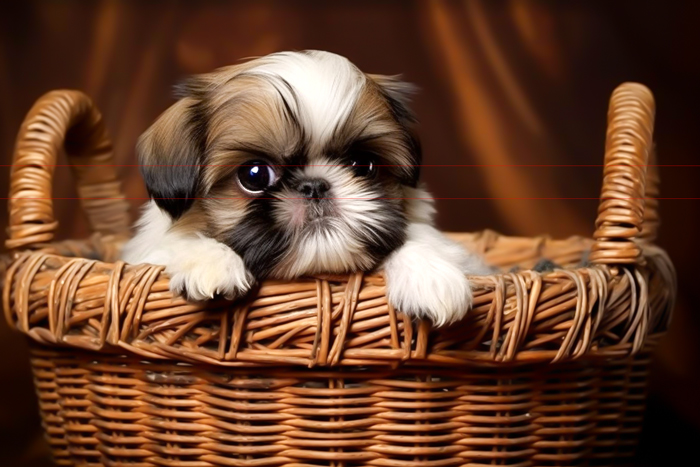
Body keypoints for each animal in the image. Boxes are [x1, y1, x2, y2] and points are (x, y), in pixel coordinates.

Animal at [121, 48, 492, 326]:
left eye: (363, 164)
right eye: (254, 175)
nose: (315, 186)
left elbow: (418, 238)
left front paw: (430, 274)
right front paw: (210, 260)